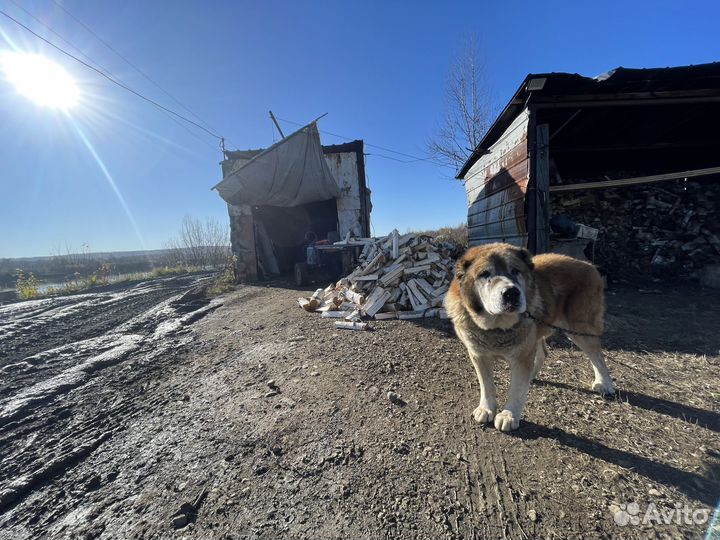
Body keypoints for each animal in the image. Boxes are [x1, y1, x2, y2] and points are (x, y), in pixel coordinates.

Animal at [444, 243, 612, 432]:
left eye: (515, 271)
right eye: (485, 274)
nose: (511, 293)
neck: (496, 327)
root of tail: (589, 265)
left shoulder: (522, 357)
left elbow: (516, 389)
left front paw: (509, 415)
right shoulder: (478, 355)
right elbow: (486, 384)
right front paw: (486, 409)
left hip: (579, 328)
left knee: (597, 355)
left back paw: (604, 383)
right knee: (544, 353)